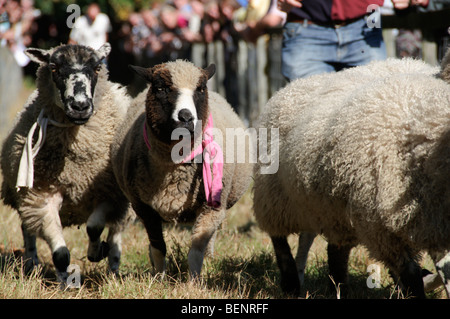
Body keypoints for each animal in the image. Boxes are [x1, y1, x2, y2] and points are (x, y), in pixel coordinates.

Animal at [0, 43, 133, 284]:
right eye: (54, 67)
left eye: (98, 67)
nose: (79, 105)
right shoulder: (41, 196)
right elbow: (61, 254)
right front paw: (64, 282)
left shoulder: (110, 194)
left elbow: (94, 227)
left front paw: (96, 252)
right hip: (24, 194)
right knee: (27, 229)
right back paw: (31, 264)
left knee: (115, 232)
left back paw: (113, 270)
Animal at [110, 60, 253, 278]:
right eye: (161, 88)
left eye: (201, 89)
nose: (186, 117)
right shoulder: (144, 208)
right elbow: (158, 247)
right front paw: (159, 278)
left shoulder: (211, 206)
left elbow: (196, 249)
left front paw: (194, 280)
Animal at [255, 54, 450, 298]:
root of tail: (292, 86)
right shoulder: (381, 229)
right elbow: (411, 275)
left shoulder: (432, 222)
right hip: (275, 195)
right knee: (278, 237)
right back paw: (291, 283)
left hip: (332, 208)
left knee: (336, 249)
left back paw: (338, 287)